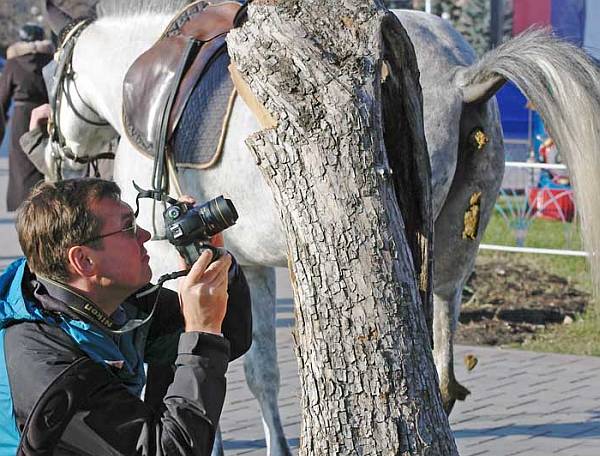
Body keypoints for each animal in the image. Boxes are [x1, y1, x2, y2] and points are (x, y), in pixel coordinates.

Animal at [47, 1, 600, 454]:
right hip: (456, 243)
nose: (53, 151)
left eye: (53, 73)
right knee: (442, 361)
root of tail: (465, 75)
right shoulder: (245, 263)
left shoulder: (177, 257)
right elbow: (259, 370)